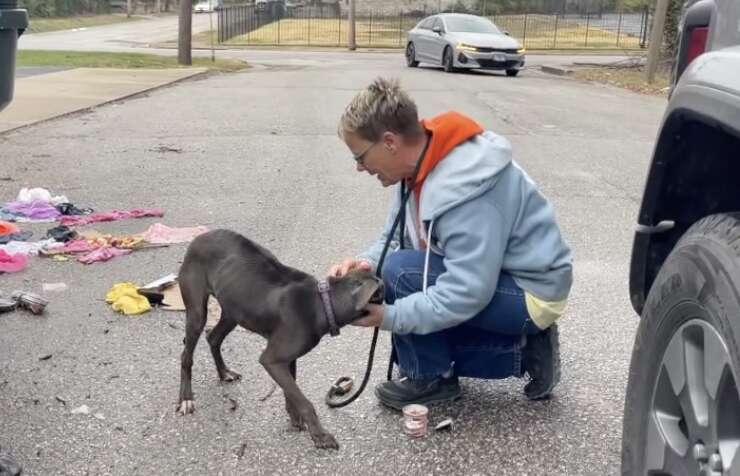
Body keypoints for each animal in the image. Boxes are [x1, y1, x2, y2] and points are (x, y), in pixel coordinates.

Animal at [177, 229, 384, 448]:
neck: (322, 303)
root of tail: (200, 237)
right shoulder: (271, 359)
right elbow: (302, 399)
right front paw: (320, 435)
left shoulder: (287, 359)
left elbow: (290, 391)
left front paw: (295, 419)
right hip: (197, 312)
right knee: (186, 355)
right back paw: (186, 398)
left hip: (233, 311)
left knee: (213, 338)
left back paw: (224, 372)